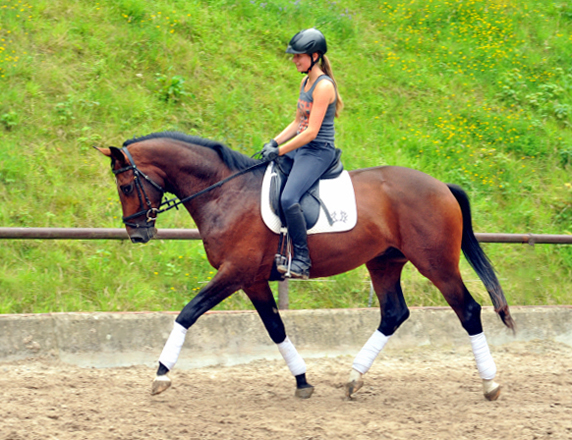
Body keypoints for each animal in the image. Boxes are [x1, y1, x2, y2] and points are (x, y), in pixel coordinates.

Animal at [96, 131, 516, 402]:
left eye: (126, 186)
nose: (137, 233)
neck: (225, 192)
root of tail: (441, 186)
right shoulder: (251, 279)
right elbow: (275, 327)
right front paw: (302, 381)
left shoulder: (234, 272)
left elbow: (187, 313)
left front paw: (161, 374)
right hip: (384, 262)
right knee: (394, 313)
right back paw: (353, 379)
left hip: (435, 262)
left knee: (468, 309)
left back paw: (490, 384)